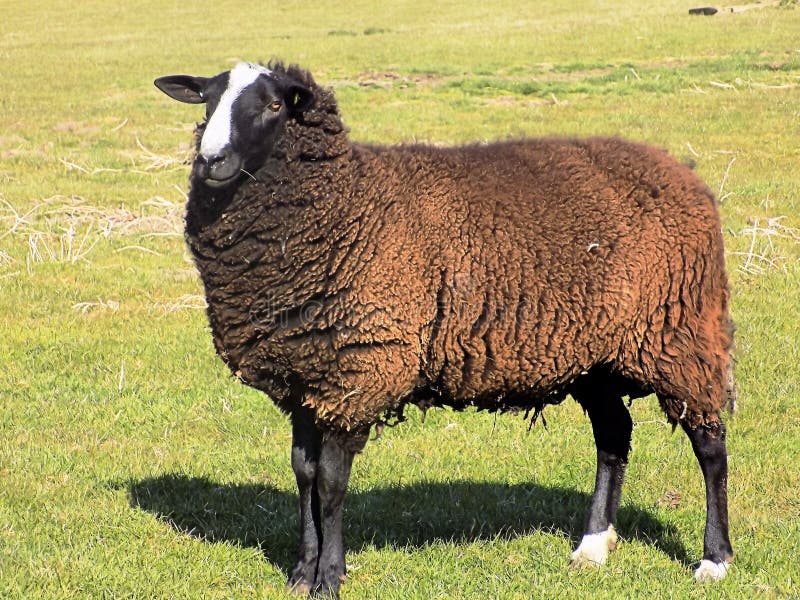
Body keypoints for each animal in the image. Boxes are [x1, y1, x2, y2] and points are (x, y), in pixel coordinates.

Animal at [153, 61, 736, 596]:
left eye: (274, 105)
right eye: (207, 100)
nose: (211, 160)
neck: (348, 204)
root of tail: (684, 174)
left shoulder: (359, 370)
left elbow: (332, 485)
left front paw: (329, 579)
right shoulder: (305, 379)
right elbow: (303, 474)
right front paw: (301, 572)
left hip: (678, 333)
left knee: (709, 444)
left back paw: (714, 558)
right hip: (593, 353)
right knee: (614, 435)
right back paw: (591, 547)